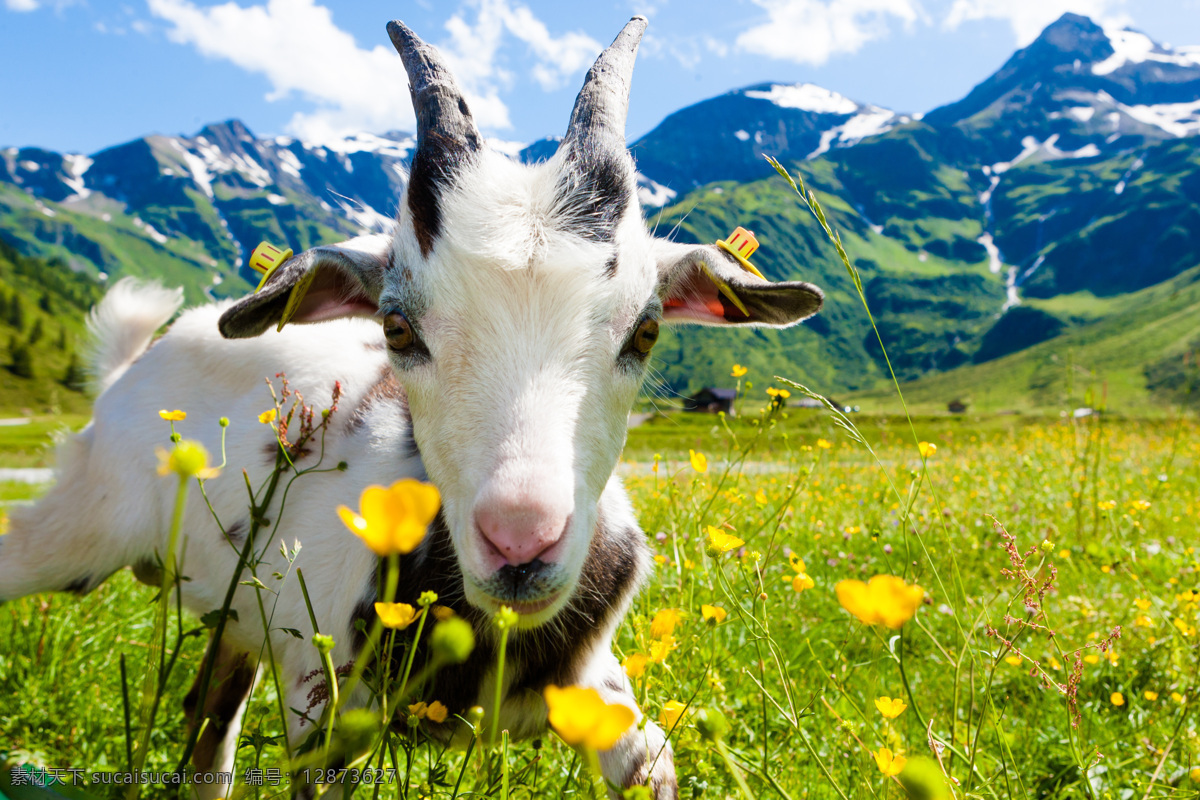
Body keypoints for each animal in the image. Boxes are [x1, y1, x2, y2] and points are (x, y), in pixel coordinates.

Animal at [0, 18, 825, 800]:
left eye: (646, 330)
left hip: (236, 610)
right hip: (80, 525)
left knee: (209, 719)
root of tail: (136, 361)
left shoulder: (598, 692)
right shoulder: (320, 709)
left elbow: (652, 754)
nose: (520, 543)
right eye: (396, 327)